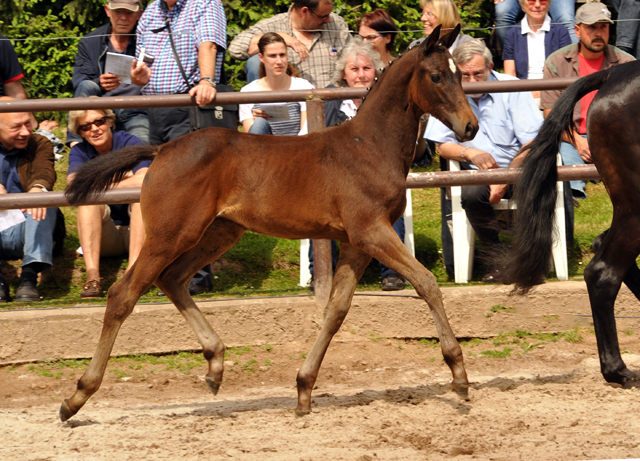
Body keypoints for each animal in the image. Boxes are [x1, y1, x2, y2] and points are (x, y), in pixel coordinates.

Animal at [62, 26, 478, 420]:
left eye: (460, 74)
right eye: (437, 76)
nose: (470, 127)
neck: (370, 146)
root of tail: (162, 148)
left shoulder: (356, 242)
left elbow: (336, 310)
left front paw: (304, 388)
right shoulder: (371, 231)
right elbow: (426, 283)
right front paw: (458, 374)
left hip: (219, 232)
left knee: (173, 279)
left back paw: (215, 365)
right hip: (170, 234)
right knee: (123, 294)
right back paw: (77, 396)